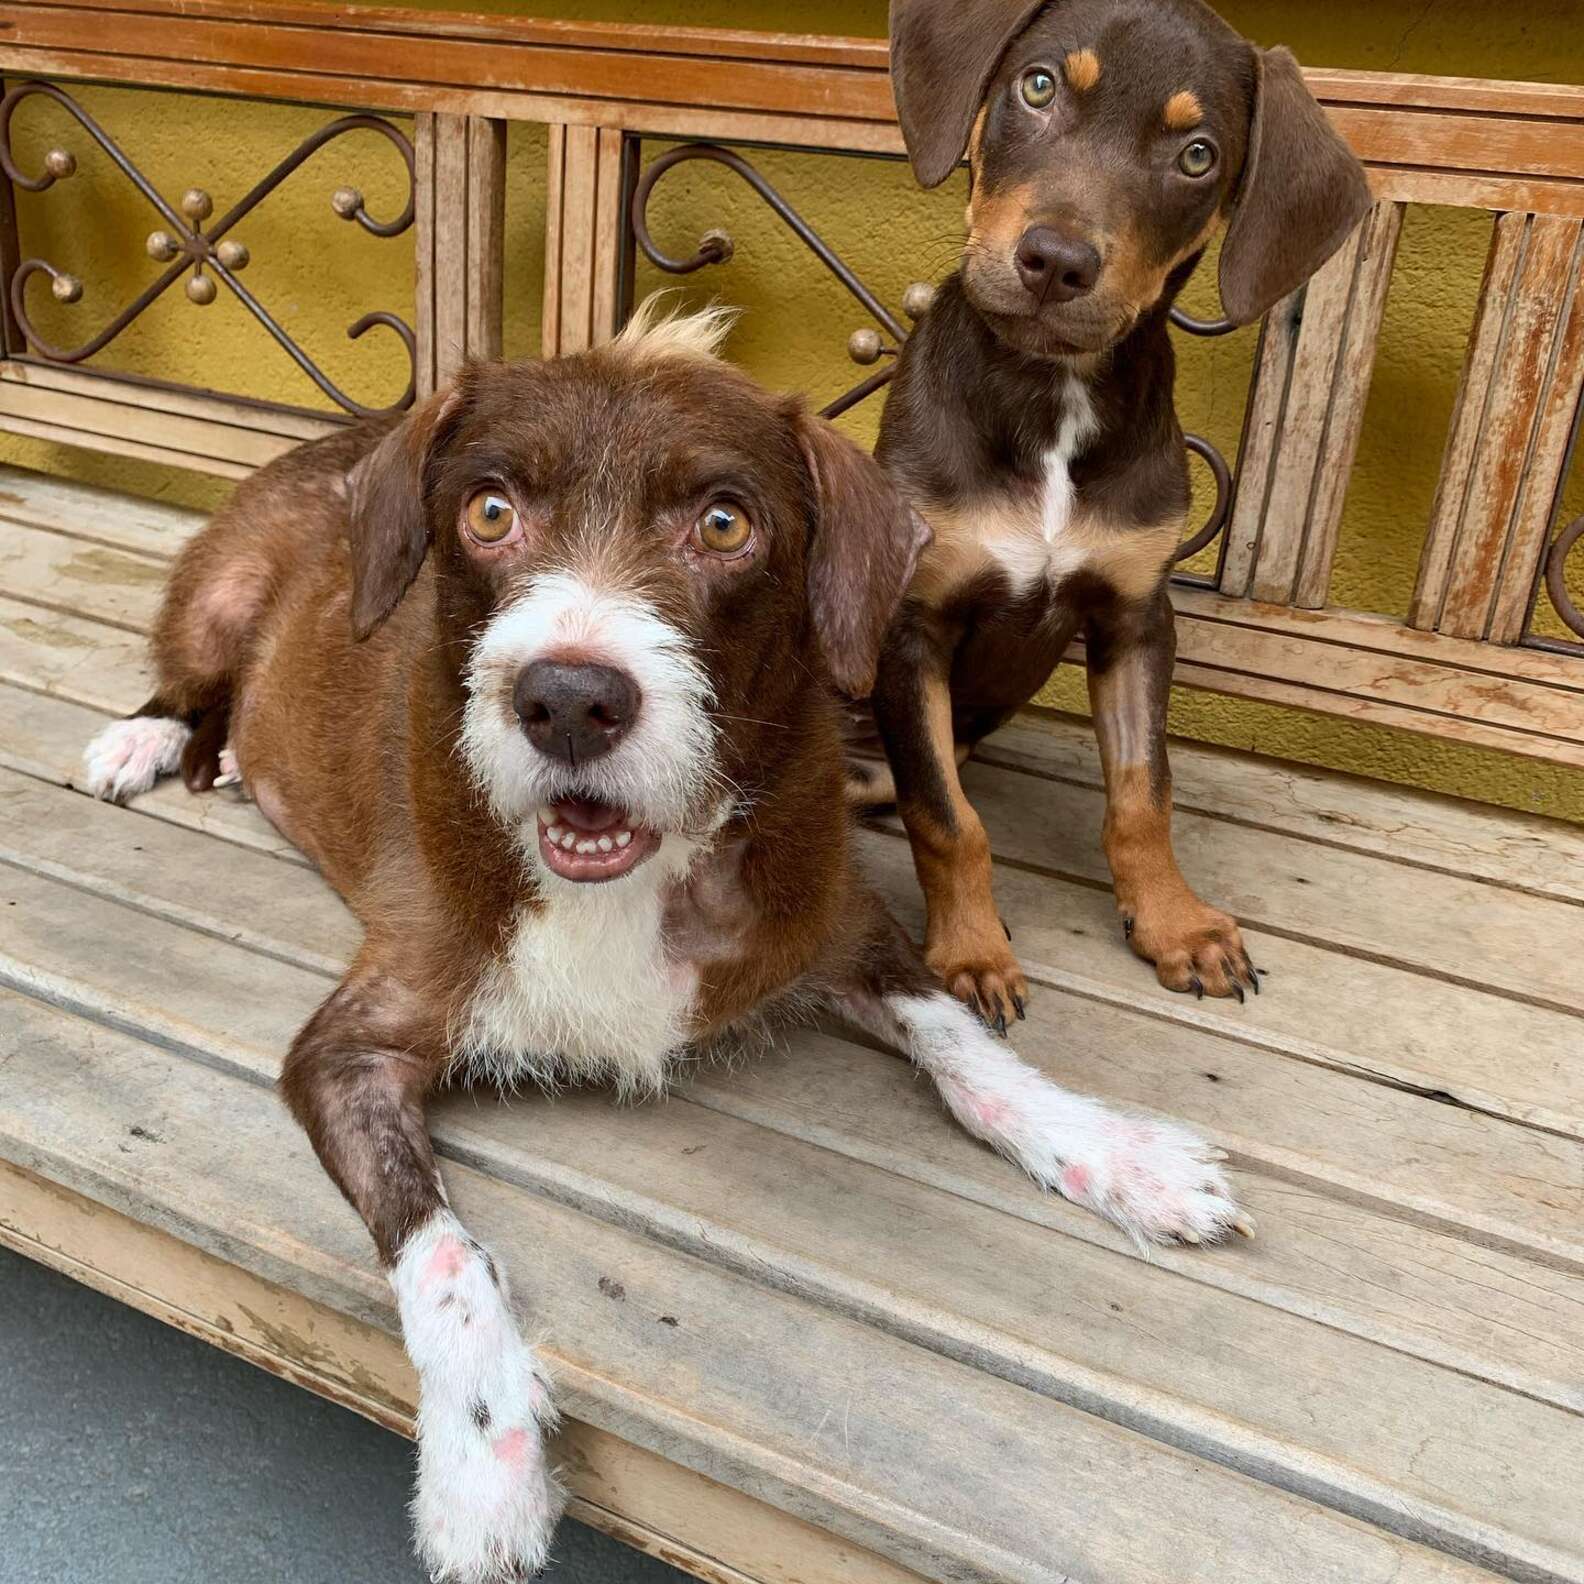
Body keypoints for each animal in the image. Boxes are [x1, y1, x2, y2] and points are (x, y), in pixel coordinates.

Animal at [83, 299, 1248, 1584]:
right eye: (490, 512)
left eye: (725, 523)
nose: (566, 701)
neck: (635, 874)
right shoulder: (348, 1045)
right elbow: (442, 1253)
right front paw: (484, 1468)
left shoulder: (840, 921)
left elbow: (972, 1055)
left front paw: (1118, 1155)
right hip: (222, 592)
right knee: (190, 678)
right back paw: (147, 740)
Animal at [855, 0, 1374, 1026]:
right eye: (1039, 86)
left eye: (1198, 156)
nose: (1055, 262)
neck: (1050, 395)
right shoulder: (913, 624)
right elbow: (948, 817)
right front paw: (971, 950)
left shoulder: (1136, 617)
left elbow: (1144, 792)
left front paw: (1175, 924)